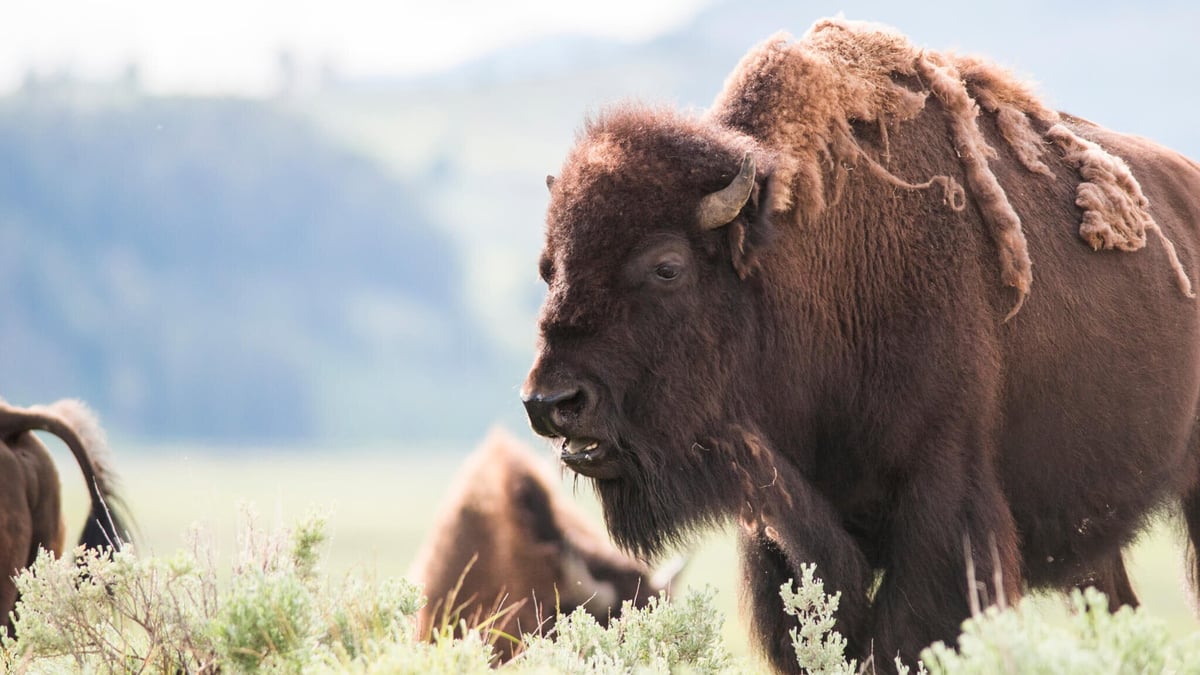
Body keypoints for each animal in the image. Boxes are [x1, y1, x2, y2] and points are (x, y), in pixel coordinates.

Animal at [525, 18, 1200, 667]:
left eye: (667, 267)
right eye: (548, 267)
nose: (550, 403)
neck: (800, 267)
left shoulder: (939, 504)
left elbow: (906, 635)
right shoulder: (780, 528)